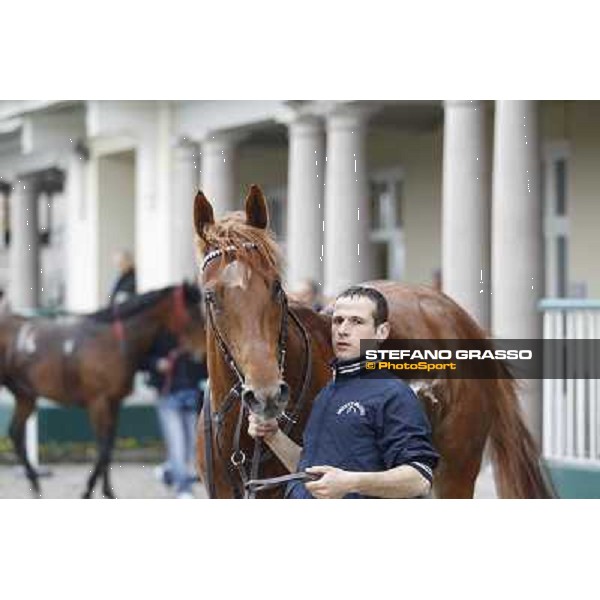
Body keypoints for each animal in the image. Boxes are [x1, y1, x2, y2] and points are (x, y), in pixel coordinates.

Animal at [0, 284, 204, 500]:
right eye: (193, 312)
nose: (202, 350)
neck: (111, 342)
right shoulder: (98, 402)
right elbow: (103, 447)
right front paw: (88, 490)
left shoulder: (114, 402)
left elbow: (109, 446)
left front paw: (107, 491)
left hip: (25, 395)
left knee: (15, 432)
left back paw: (35, 483)